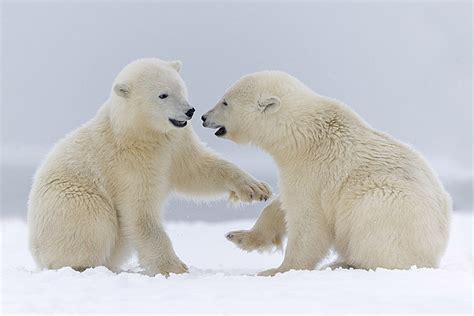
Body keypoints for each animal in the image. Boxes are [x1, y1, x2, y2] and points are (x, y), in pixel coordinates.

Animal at [28, 59, 270, 276]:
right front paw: (174, 267)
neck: (138, 132)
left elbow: (197, 170)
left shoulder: (174, 144)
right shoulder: (128, 163)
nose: (190, 111)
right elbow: (140, 212)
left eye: (180, 88)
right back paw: (85, 266)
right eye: (163, 95)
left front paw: (256, 188)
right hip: (71, 201)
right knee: (93, 222)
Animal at [201, 70, 452, 276]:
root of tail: (437, 250)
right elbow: (280, 205)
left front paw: (277, 270)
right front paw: (240, 236)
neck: (303, 134)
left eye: (225, 102)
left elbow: (308, 221)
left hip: (390, 205)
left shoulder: (314, 171)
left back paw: (347, 263)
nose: (204, 117)